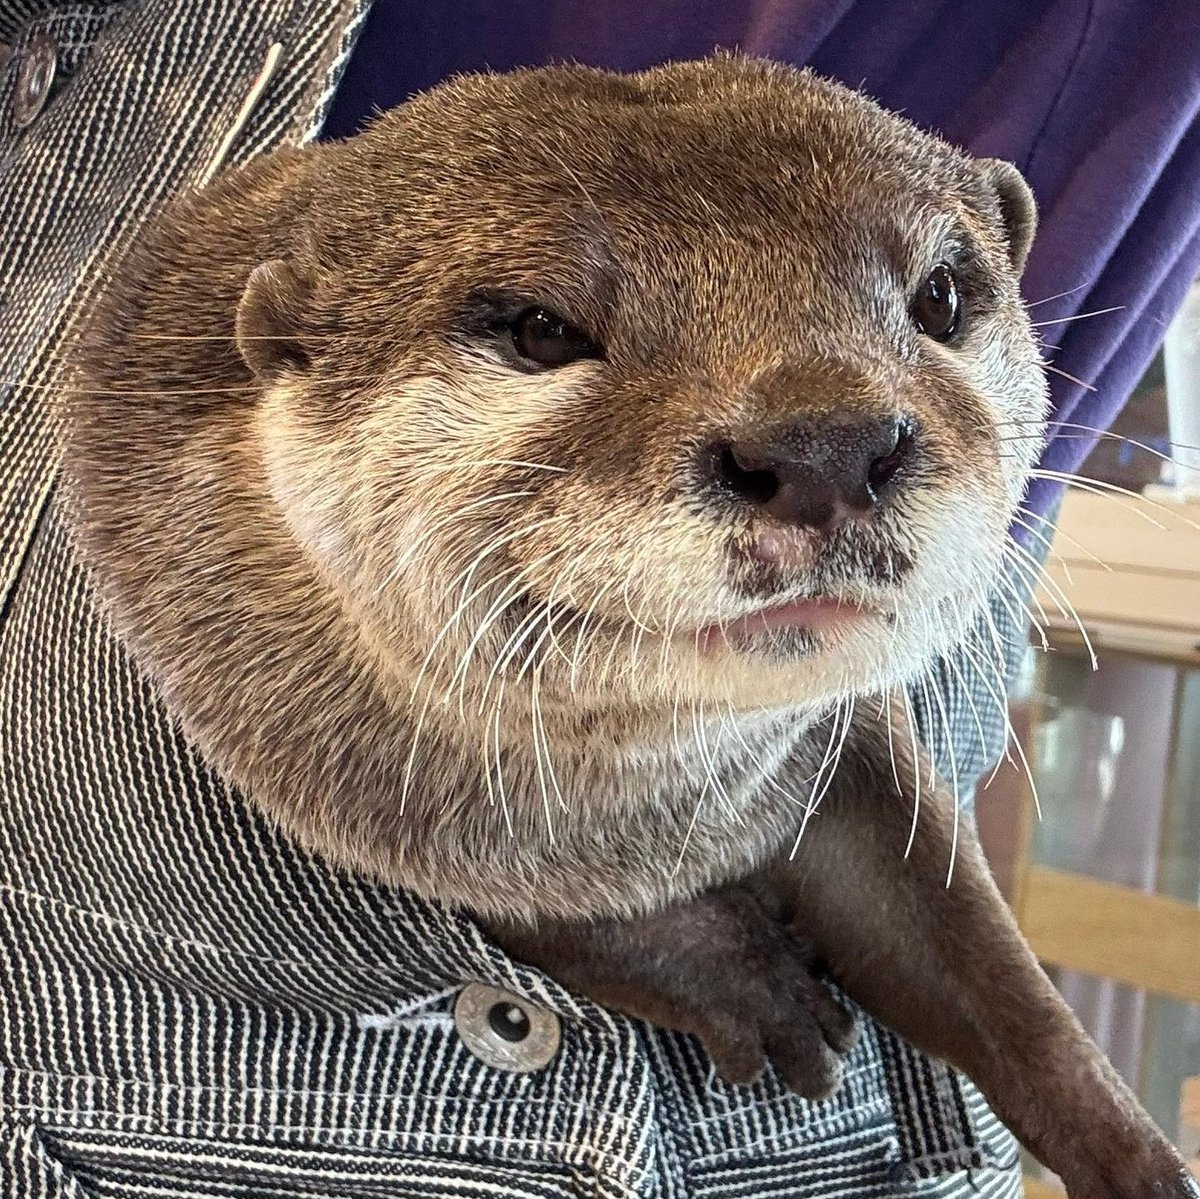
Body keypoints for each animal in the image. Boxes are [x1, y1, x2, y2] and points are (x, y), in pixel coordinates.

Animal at [62, 56, 1194, 1198]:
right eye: (540, 329)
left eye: (943, 296)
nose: (825, 442)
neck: (647, 820)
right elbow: (539, 919)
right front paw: (743, 979)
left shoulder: (849, 750)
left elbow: (969, 950)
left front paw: (1134, 1153)